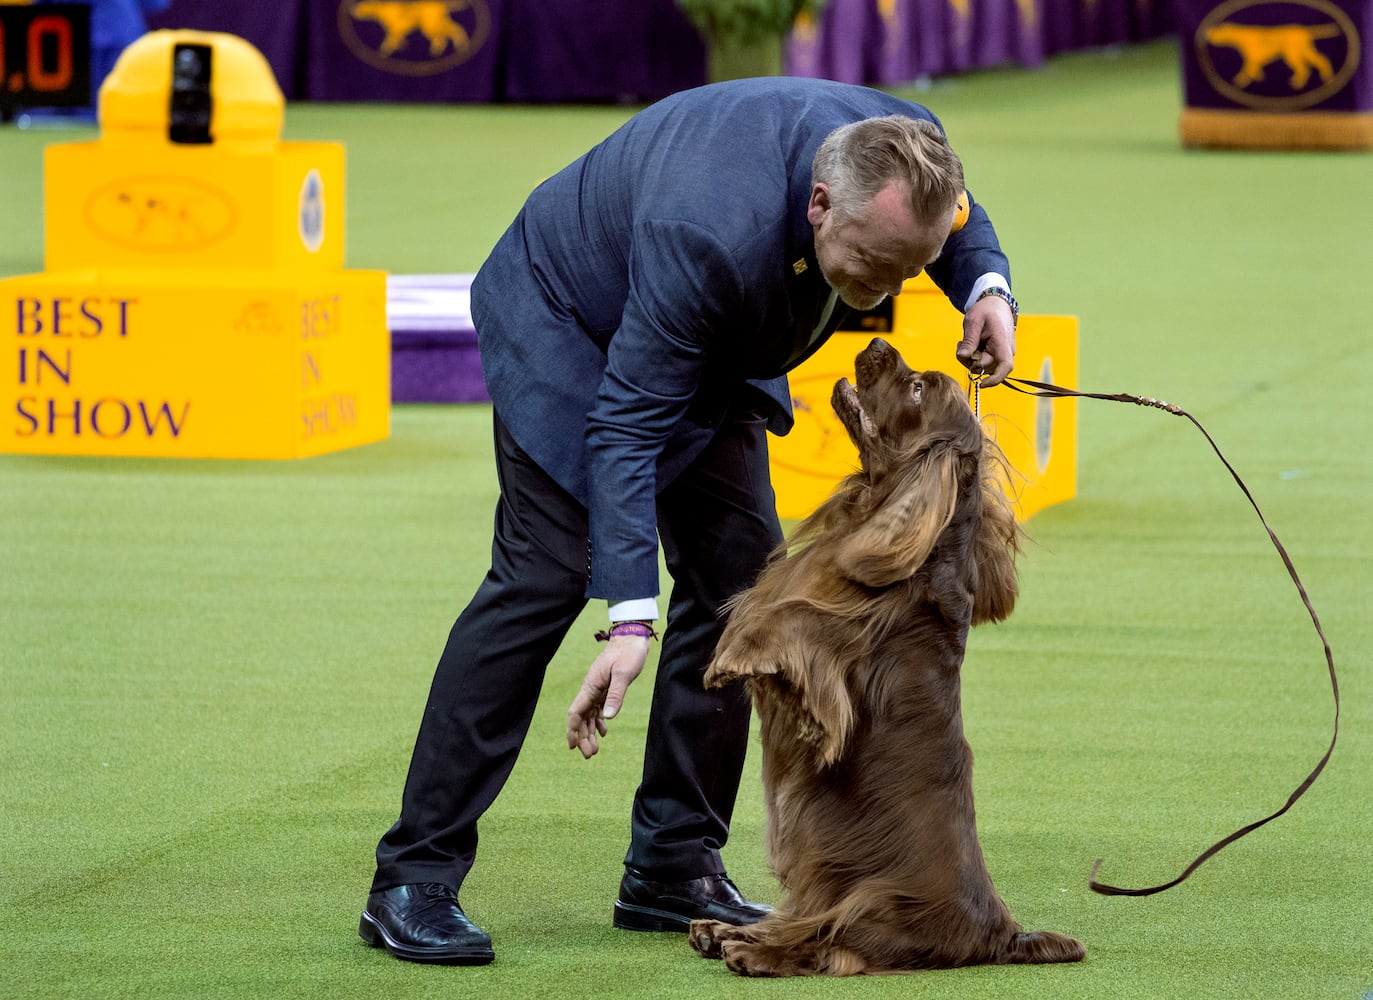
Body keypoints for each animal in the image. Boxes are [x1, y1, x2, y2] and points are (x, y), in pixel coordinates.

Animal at [691, 337, 1087, 978]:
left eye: (919, 388)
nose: (877, 342)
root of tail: (1001, 934)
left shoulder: (840, 645)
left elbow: (790, 621)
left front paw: (732, 657)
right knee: (809, 921)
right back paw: (721, 930)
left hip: (874, 897)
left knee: (830, 943)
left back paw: (751, 950)